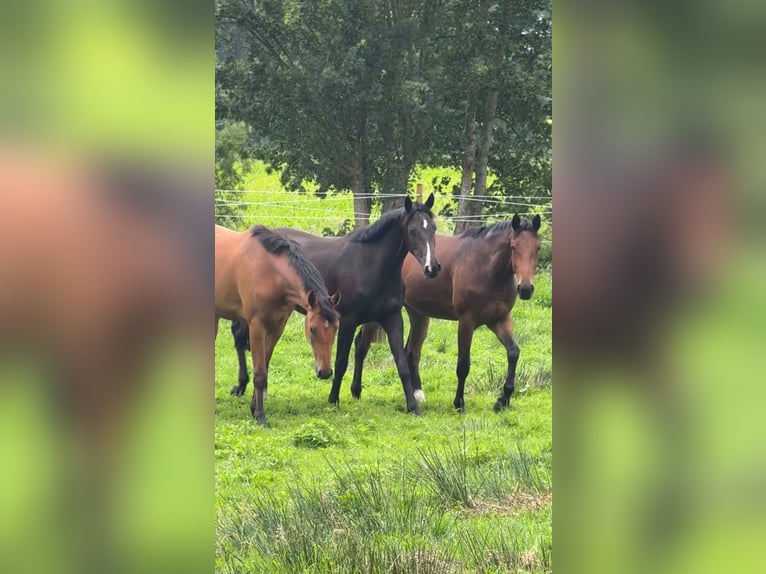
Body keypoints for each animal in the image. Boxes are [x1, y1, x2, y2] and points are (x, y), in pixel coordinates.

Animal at [215, 224, 340, 425]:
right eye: (312, 329)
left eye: (336, 328)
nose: (325, 372)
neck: (271, 273)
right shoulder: (257, 326)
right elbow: (259, 373)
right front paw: (260, 416)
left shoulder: (277, 327)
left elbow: (264, 366)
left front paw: (253, 408)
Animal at [230, 194, 440, 415]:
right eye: (413, 231)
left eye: (433, 228)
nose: (432, 268)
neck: (371, 265)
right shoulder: (347, 321)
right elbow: (340, 362)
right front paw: (333, 399)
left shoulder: (392, 318)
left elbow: (401, 363)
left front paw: (413, 406)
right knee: (240, 336)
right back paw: (242, 386)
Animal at [352, 213, 541, 412]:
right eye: (513, 246)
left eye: (538, 247)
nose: (525, 289)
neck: (485, 267)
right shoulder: (467, 322)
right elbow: (463, 365)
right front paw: (459, 403)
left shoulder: (500, 320)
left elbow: (513, 352)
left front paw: (503, 400)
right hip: (378, 316)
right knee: (362, 346)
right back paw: (356, 391)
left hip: (419, 315)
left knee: (411, 352)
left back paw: (417, 395)